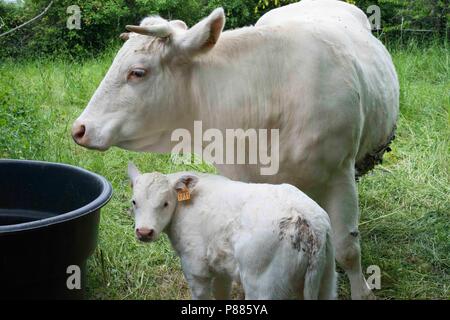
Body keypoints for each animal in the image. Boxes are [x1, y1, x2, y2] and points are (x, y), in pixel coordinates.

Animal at [126, 162, 338, 300]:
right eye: (134, 201)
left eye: (165, 203)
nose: (144, 232)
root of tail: (306, 219)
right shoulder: (221, 267)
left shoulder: (194, 266)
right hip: (327, 279)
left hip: (264, 285)